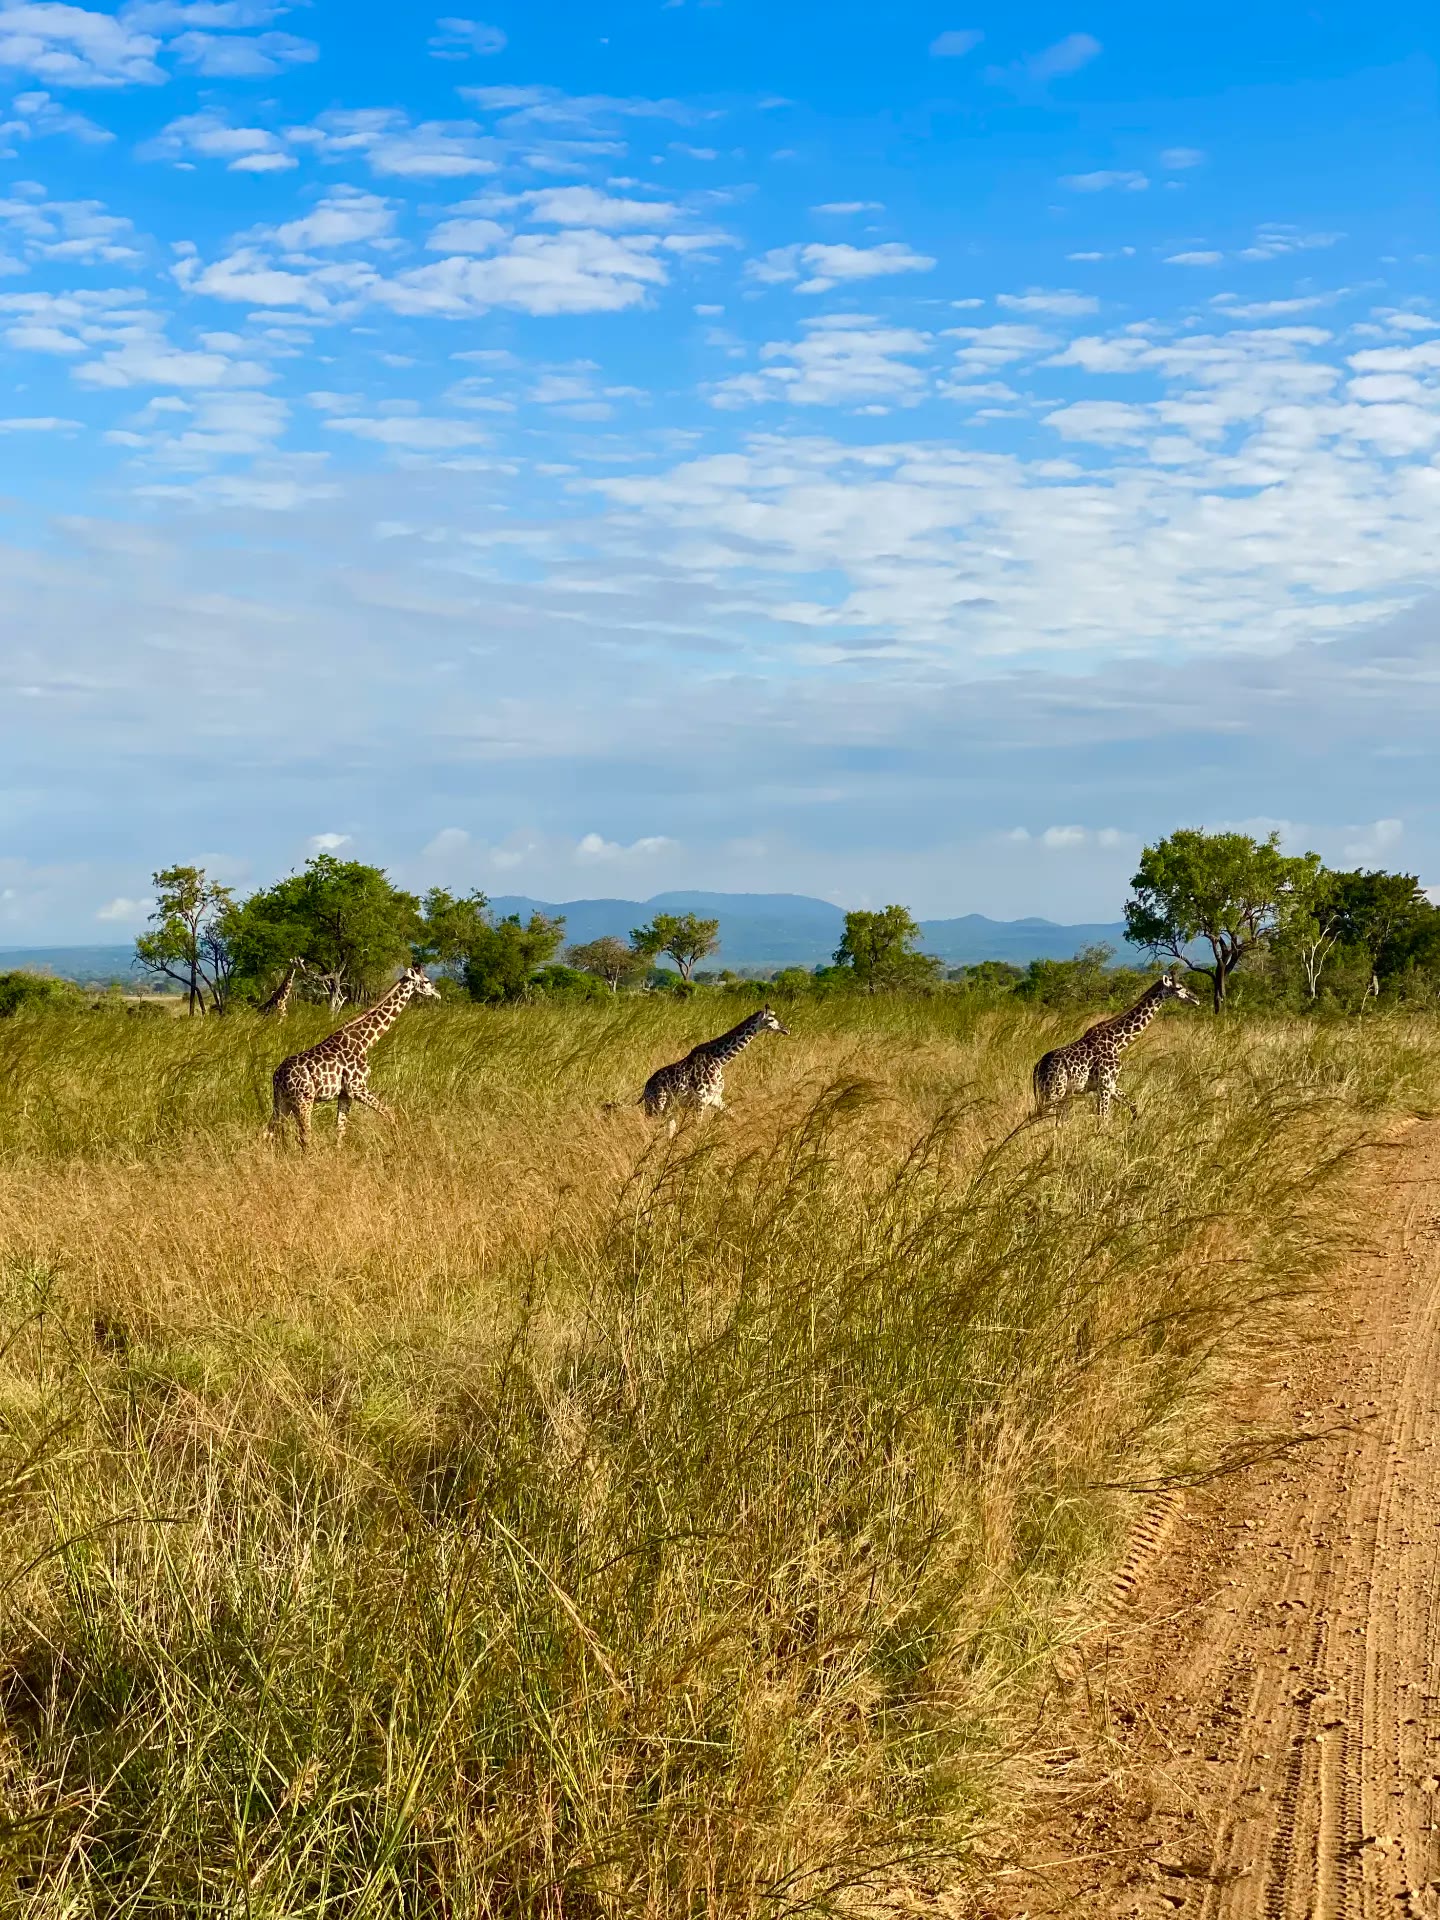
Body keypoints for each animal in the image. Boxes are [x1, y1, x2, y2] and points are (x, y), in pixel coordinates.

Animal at [268, 963, 440, 1148]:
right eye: (426, 981)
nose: (437, 993)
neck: (365, 1041)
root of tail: (277, 1076)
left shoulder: (345, 1093)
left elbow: (340, 1130)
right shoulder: (357, 1087)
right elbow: (390, 1113)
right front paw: (398, 1143)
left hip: (282, 1101)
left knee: (269, 1131)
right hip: (303, 1100)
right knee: (304, 1136)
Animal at [639, 1005, 789, 1135]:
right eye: (771, 1020)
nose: (786, 1029)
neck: (719, 1061)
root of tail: (646, 1089)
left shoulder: (715, 1099)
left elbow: (734, 1117)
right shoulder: (700, 1101)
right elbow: (697, 1128)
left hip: (668, 1108)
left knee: (668, 1130)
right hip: (657, 1105)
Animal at [1032, 969, 1199, 1122]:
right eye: (1178, 987)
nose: (1196, 998)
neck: (1117, 1042)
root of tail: (1037, 1066)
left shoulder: (1111, 1085)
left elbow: (1133, 1105)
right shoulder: (1104, 1084)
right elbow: (1103, 1117)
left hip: (1053, 1092)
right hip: (1054, 1090)